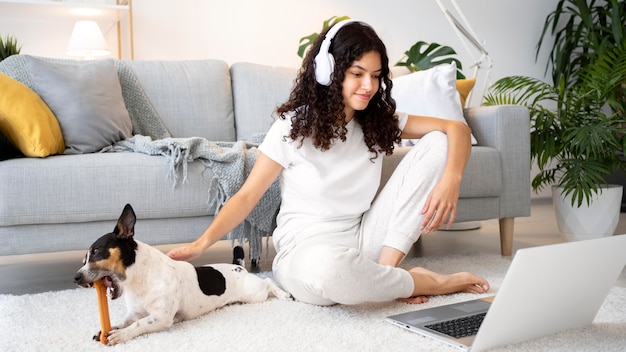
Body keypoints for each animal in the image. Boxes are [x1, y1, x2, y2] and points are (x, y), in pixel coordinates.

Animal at [73, 204, 290, 344]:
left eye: (96, 251)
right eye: (83, 260)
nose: (76, 278)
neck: (139, 281)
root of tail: (238, 266)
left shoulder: (161, 317)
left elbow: (138, 325)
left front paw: (121, 335)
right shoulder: (134, 313)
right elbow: (125, 322)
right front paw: (111, 329)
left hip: (254, 293)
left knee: (268, 281)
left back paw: (284, 294)